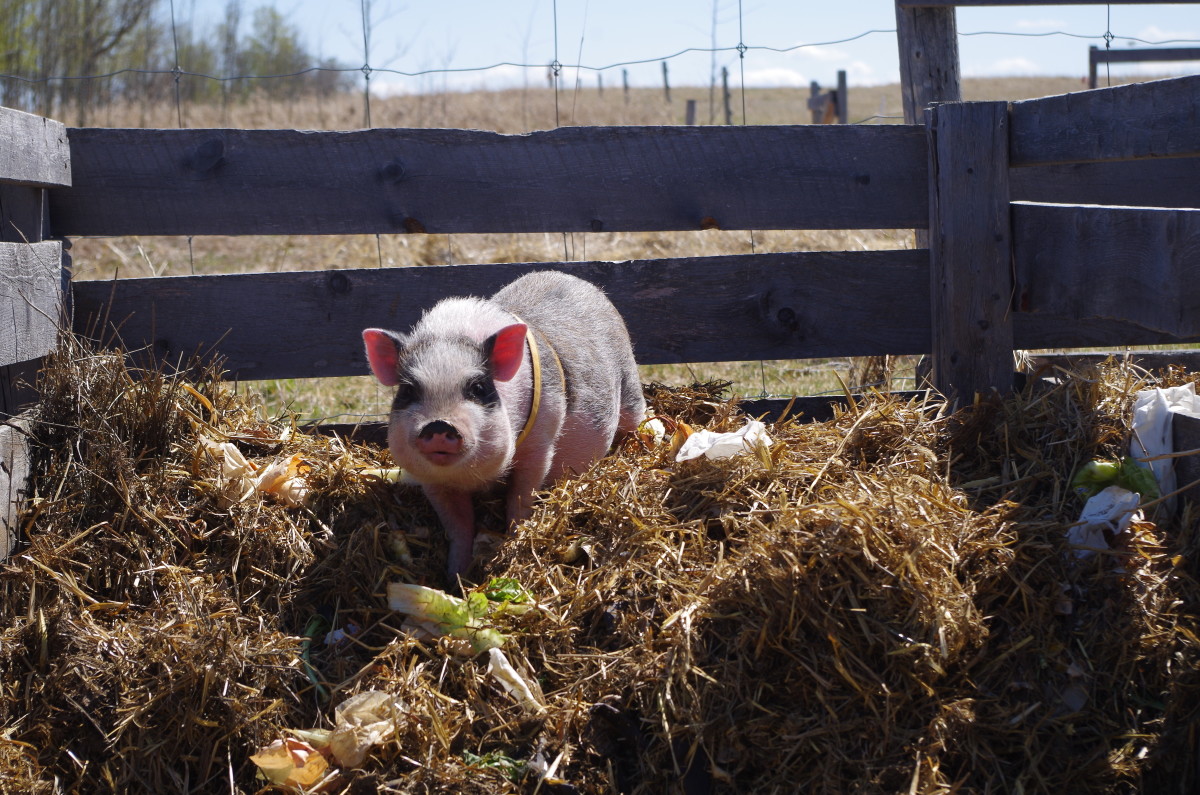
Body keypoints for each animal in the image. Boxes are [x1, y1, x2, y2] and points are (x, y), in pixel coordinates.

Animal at [362, 271, 648, 583]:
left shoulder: (541, 444)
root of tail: (578, 281)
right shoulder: (433, 480)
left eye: (478, 388)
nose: (438, 424)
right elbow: (458, 526)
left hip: (631, 392)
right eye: (408, 391)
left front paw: (510, 553)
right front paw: (455, 578)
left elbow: (520, 502)